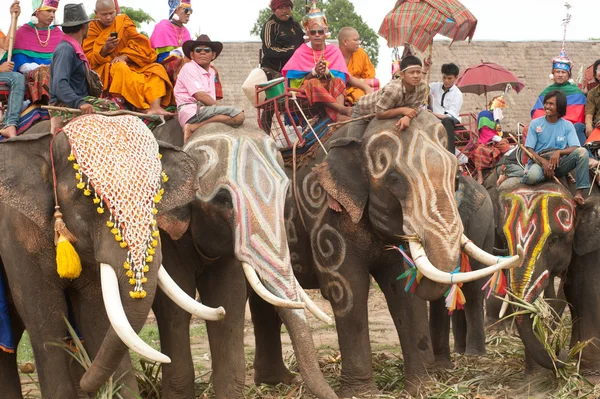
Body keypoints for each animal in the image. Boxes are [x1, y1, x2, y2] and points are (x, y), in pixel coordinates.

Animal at [0, 119, 209, 399]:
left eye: (157, 194)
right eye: (87, 194)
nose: (87, 378)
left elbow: (97, 314)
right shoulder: (17, 237)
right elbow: (45, 319)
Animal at [247, 111, 520, 396]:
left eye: (456, 178)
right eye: (395, 180)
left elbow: (402, 288)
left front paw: (420, 388)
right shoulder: (326, 217)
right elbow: (349, 289)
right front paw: (360, 394)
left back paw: (277, 381)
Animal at [494, 178, 600, 382]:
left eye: (554, 240)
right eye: (503, 238)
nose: (559, 352)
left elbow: (588, 292)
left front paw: (591, 377)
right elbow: (564, 294)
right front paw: (534, 379)